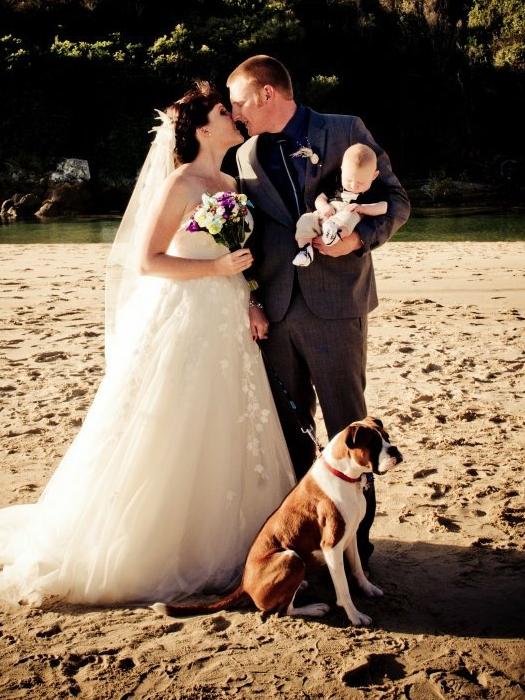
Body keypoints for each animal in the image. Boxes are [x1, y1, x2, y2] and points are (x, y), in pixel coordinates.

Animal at [154, 416, 404, 624]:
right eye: (373, 445)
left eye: (387, 437)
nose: (394, 449)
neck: (343, 475)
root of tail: (244, 584)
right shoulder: (331, 547)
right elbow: (343, 589)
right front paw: (354, 615)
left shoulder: (350, 536)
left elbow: (357, 567)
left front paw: (368, 588)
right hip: (291, 558)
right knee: (283, 611)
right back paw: (314, 608)